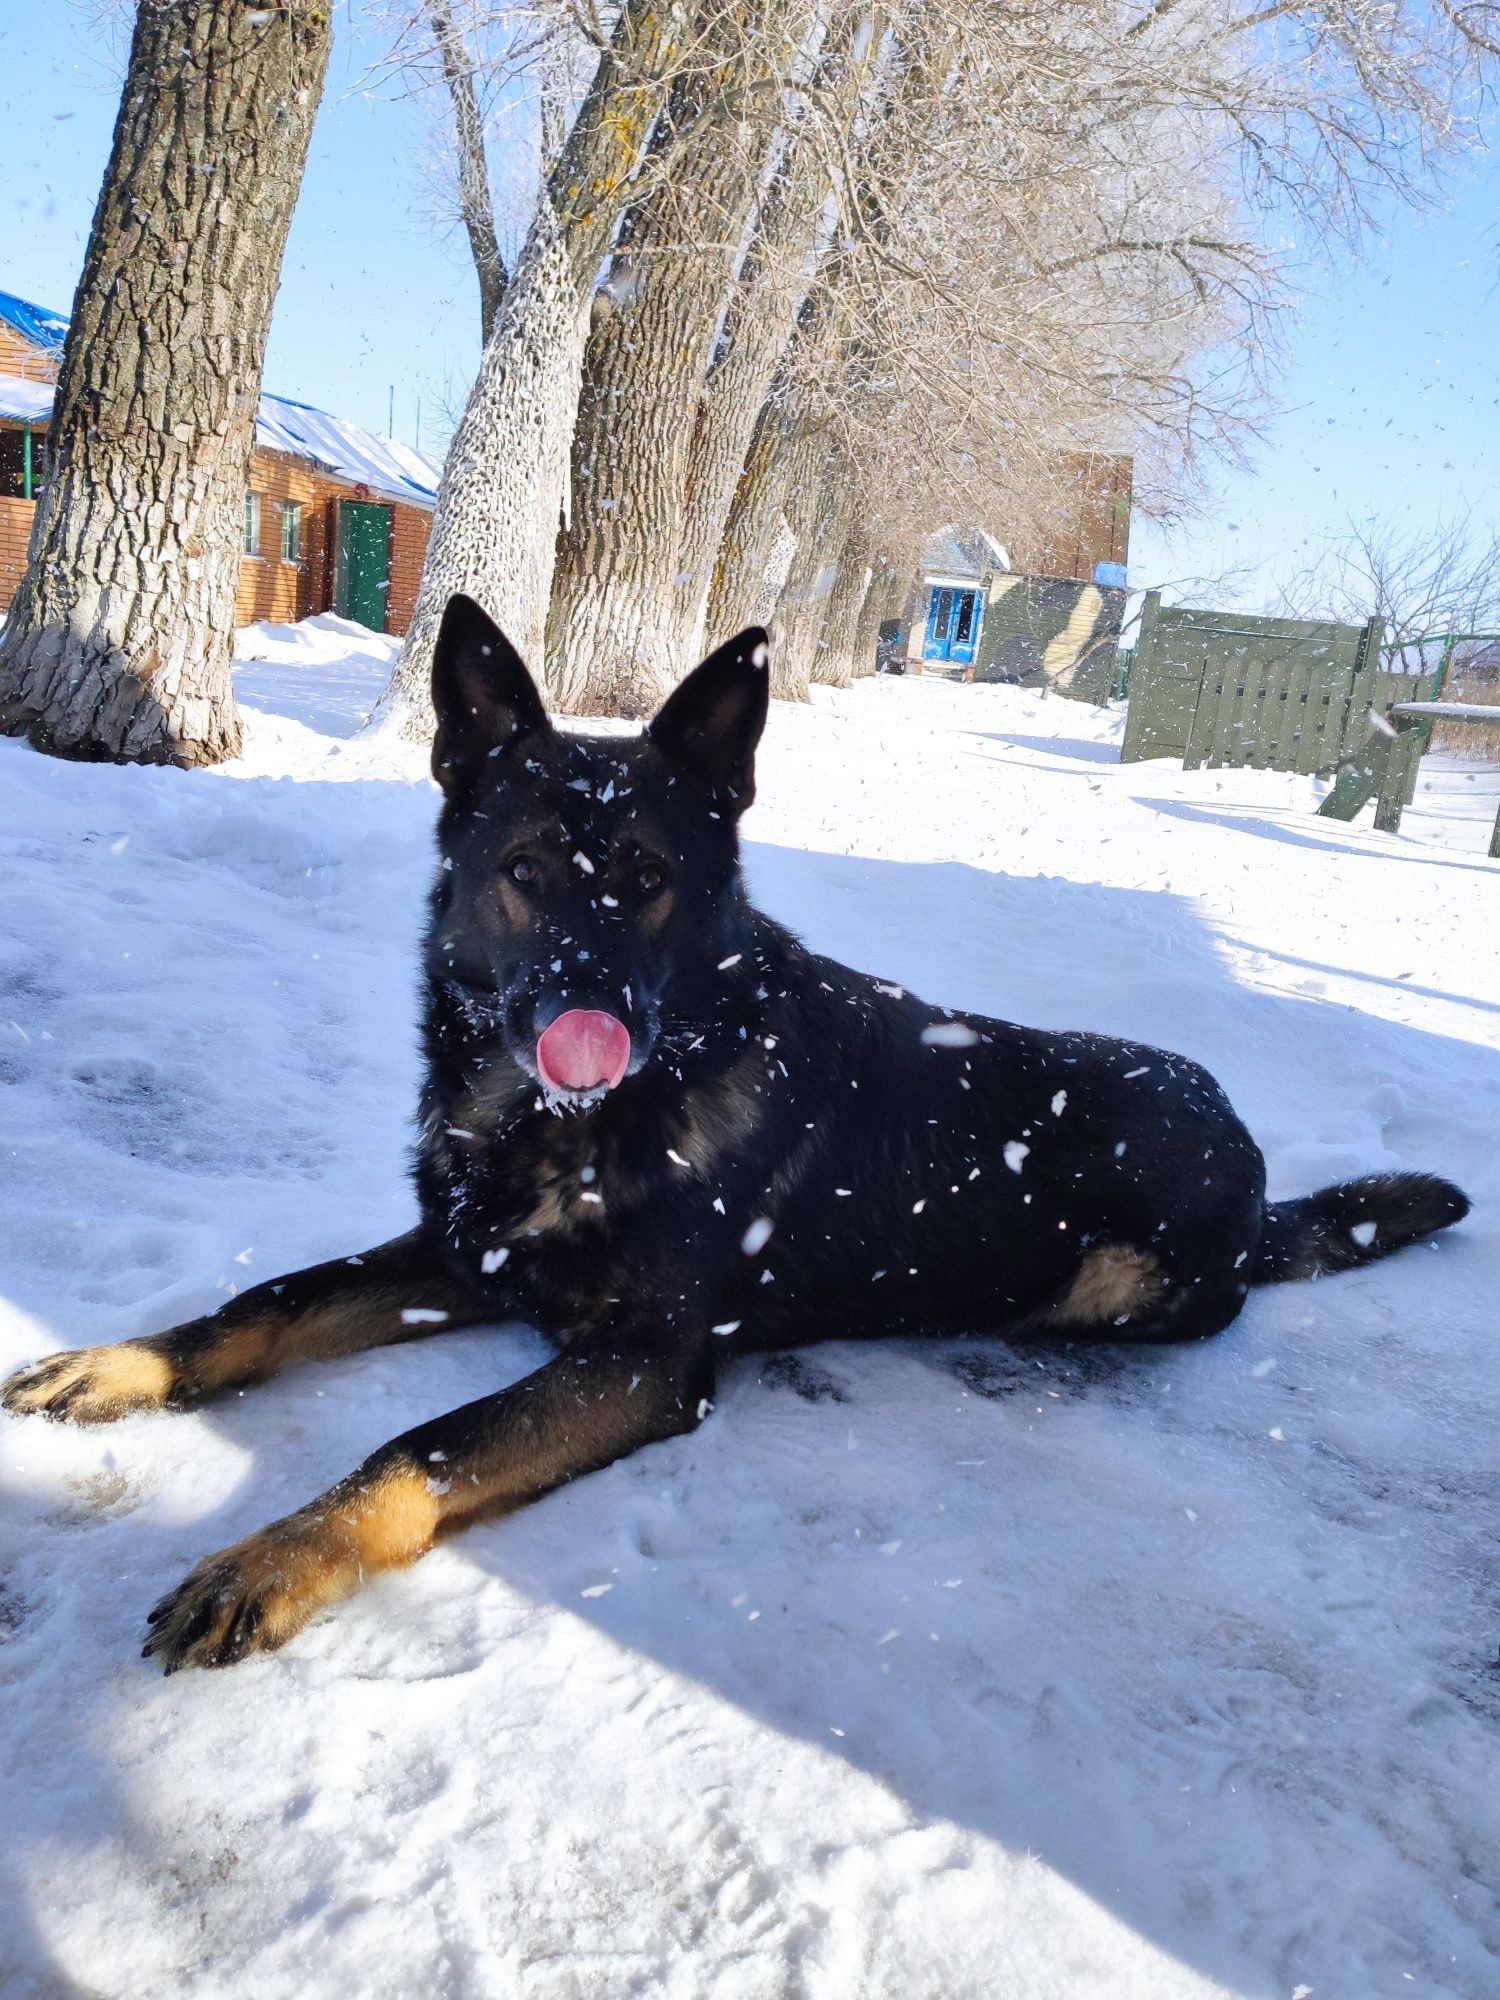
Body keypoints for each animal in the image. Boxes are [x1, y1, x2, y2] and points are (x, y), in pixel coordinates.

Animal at [0, 596, 1472, 1672]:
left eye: (649, 879)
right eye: (524, 871)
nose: (588, 1012)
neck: (569, 1126)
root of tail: (1259, 1175)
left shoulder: (645, 1363)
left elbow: (420, 1444)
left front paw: (269, 1557)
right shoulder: (460, 1259)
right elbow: (268, 1302)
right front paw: (126, 1364)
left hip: (1120, 1279)